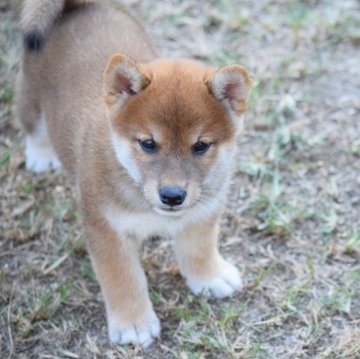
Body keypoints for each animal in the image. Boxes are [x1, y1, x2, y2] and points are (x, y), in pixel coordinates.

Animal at [16, 0, 250, 350]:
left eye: (201, 146)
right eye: (148, 143)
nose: (173, 196)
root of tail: (76, 7)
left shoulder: (203, 213)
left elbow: (198, 249)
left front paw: (209, 276)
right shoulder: (106, 229)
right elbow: (123, 278)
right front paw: (133, 323)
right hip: (30, 98)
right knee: (33, 127)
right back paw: (41, 156)